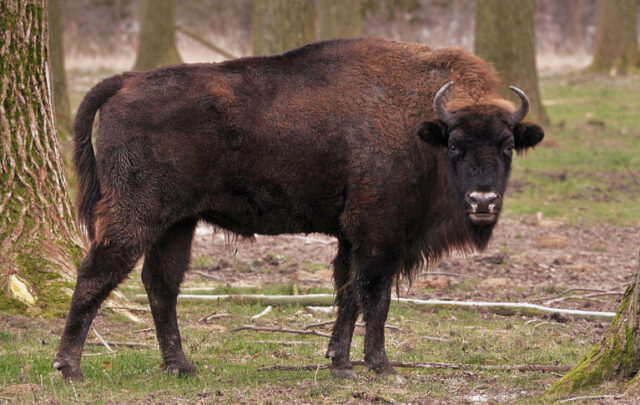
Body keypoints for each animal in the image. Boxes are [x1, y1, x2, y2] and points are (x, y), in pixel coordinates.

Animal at [54, 38, 544, 381]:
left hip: (177, 222)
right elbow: (376, 298)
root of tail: (126, 81)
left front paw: (339, 364)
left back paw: (181, 366)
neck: (423, 127)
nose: (483, 201)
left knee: (161, 285)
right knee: (96, 273)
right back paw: (69, 367)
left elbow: (348, 295)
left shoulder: (351, 237)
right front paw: (381, 366)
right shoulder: (378, 234)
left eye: (507, 146)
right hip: (136, 214)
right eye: (456, 145)